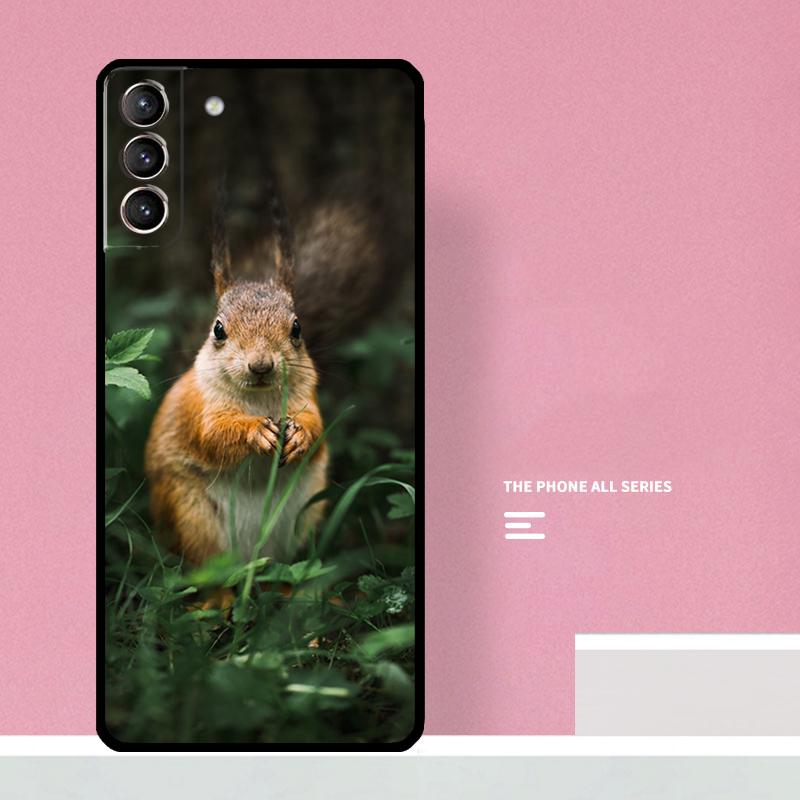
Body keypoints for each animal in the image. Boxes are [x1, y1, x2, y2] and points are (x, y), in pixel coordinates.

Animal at [144, 180, 399, 573]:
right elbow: (213, 435)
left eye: (297, 328)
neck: (259, 398)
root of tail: (252, 556)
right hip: (190, 514)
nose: (261, 366)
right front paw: (254, 432)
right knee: (210, 570)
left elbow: (318, 425)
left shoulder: (307, 396)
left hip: (302, 516)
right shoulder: (199, 408)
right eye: (218, 329)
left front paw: (299, 435)